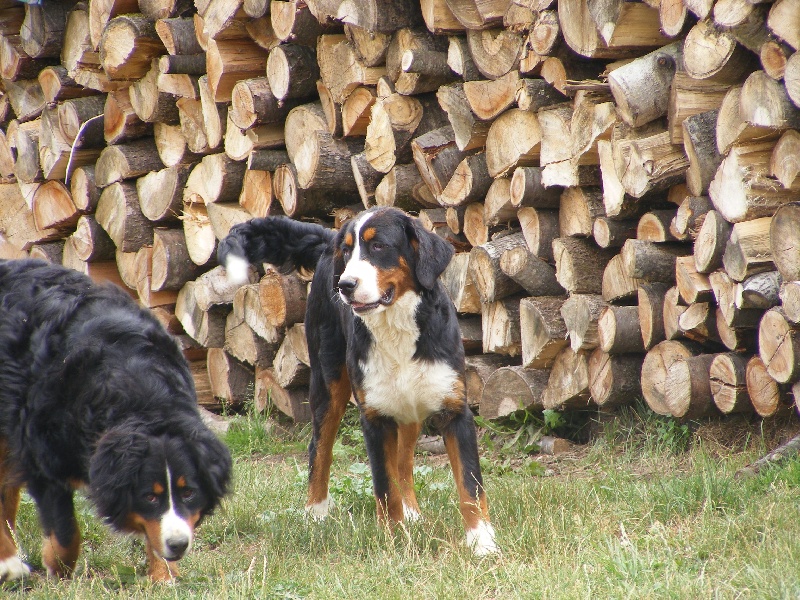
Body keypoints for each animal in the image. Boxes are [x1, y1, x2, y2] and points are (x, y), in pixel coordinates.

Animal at [0, 258, 231, 580]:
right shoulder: (43, 451)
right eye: (149, 496)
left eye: (189, 493)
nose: (178, 545)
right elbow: (66, 532)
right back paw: (9, 562)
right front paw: (59, 571)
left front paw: (163, 576)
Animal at [219, 207, 500, 556]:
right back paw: (315, 513)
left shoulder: (454, 410)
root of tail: (328, 238)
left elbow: (470, 485)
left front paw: (482, 542)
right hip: (328, 384)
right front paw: (394, 540)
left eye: (378, 246)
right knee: (319, 449)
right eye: (348, 252)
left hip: (407, 406)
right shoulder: (375, 417)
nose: (345, 284)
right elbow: (384, 486)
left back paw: (412, 512)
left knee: (404, 461)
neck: (396, 330)